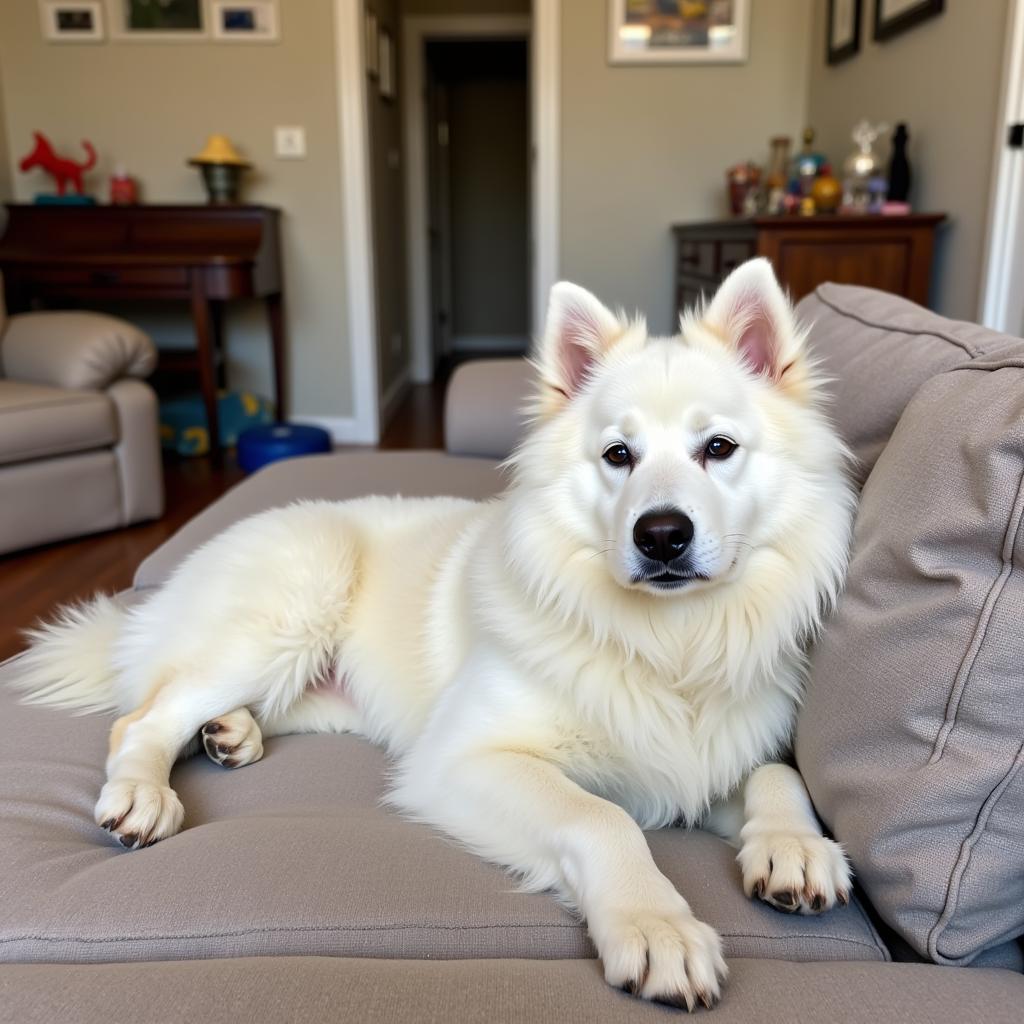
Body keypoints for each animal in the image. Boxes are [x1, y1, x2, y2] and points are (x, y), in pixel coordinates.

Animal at [14, 260, 856, 1011]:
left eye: (719, 448)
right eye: (619, 456)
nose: (661, 537)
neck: (671, 642)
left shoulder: (700, 763)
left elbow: (776, 775)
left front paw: (795, 846)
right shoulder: (463, 760)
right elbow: (602, 819)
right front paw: (658, 927)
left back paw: (231, 735)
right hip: (291, 606)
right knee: (143, 717)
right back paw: (143, 793)